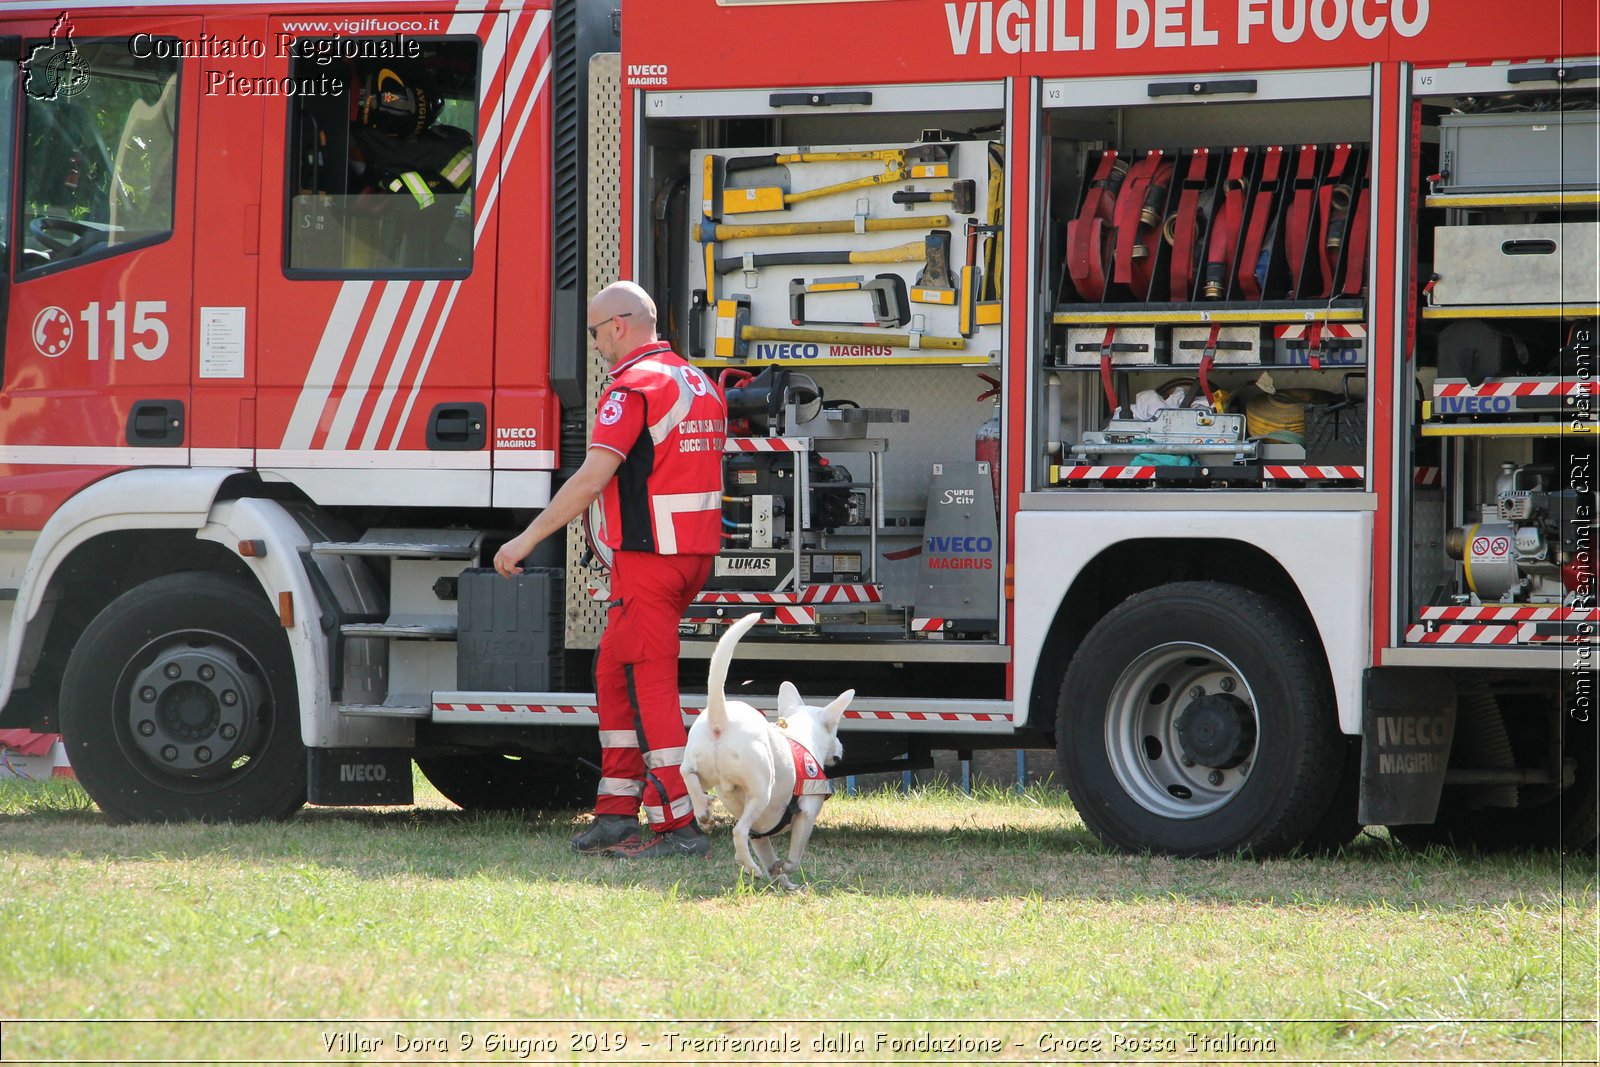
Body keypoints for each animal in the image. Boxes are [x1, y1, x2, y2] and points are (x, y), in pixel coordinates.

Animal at [678, 614, 851, 889]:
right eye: (835, 730)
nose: (841, 749)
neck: (798, 734)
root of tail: (721, 718)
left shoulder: (759, 834)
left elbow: (770, 857)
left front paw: (785, 884)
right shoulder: (807, 814)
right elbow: (794, 859)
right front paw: (783, 869)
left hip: (702, 768)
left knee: (688, 775)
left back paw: (703, 810)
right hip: (761, 792)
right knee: (738, 831)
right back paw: (750, 867)